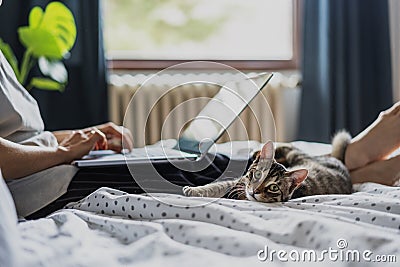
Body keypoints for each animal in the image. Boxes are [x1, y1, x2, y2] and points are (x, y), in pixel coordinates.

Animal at [183, 132, 352, 203]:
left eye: (274, 188)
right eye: (257, 175)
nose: (254, 191)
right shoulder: (241, 181)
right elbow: (217, 186)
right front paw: (195, 190)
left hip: (298, 156)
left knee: (291, 147)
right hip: (296, 156)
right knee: (289, 147)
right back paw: (257, 151)